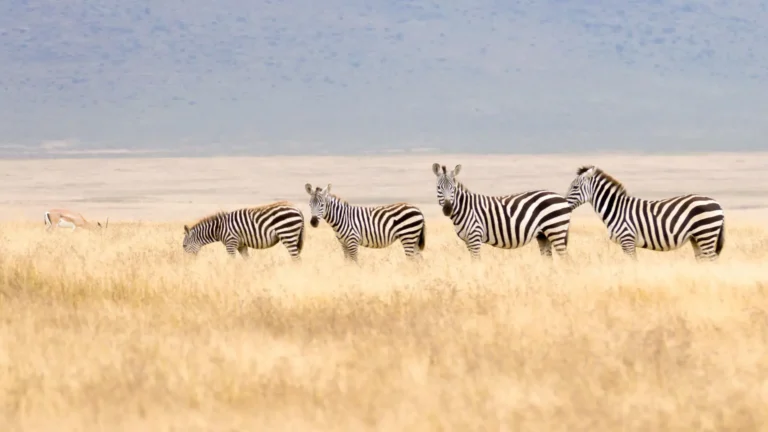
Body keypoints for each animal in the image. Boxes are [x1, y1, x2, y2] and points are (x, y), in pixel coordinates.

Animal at [432, 163, 572, 260]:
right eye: (439, 188)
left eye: (453, 188)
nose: (447, 208)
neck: (466, 209)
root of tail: (562, 198)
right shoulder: (468, 240)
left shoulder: (475, 237)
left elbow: (476, 261)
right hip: (543, 234)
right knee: (548, 259)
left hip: (556, 230)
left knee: (564, 258)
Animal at [565, 165, 725, 260]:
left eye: (575, 187)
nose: (564, 204)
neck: (616, 209)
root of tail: (717, 204)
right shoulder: (628, 243)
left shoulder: (627, 240)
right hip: (696, 238)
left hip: (706, 234)